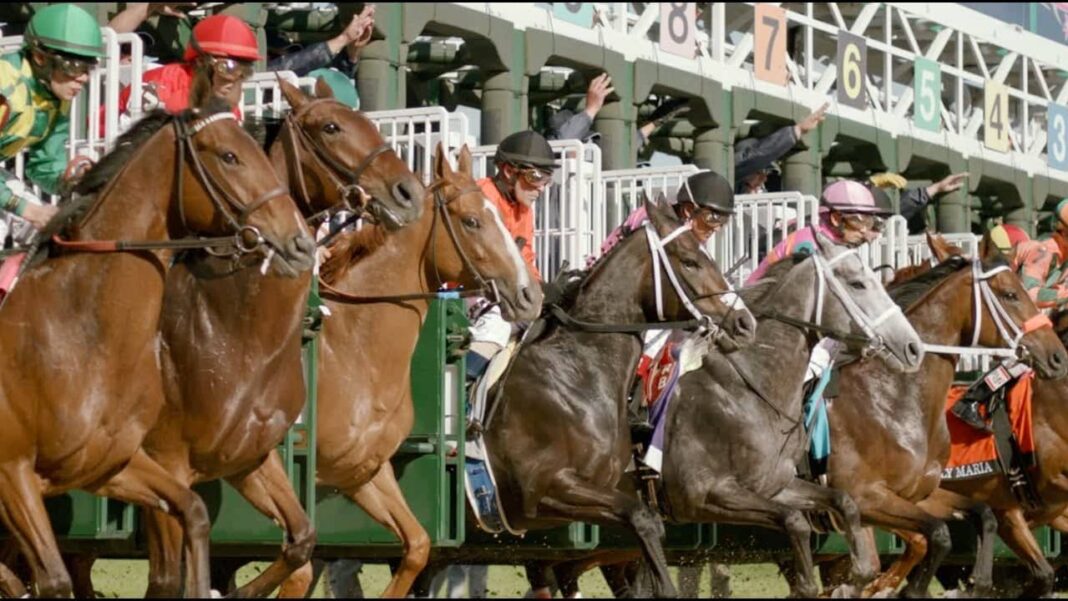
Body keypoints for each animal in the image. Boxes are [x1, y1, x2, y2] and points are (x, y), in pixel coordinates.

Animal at [0, 102, 311, 597]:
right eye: (229, 156)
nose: (298, 242)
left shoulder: (111, 465)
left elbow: (198, 515)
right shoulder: (13, 472)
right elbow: (55, 580)